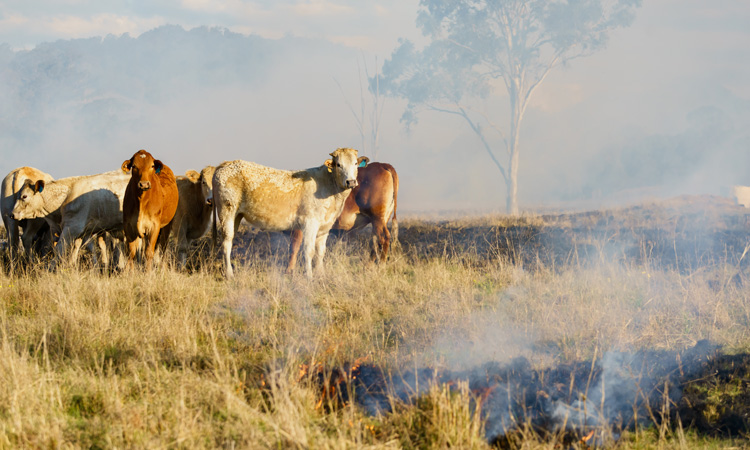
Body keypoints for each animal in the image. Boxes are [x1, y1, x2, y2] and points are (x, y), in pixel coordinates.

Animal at [213, 147, 366, 278]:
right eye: (339, 164)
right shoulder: (310, 222)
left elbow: (320, 252)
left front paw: (321, 275)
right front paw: (309, 276)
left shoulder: (325, 226)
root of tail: (225, 164)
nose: (351, 182)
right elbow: (308, 250)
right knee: (226, 242)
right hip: (226, 211)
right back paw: (229, 274)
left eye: (355, 164)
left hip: (237, 216)